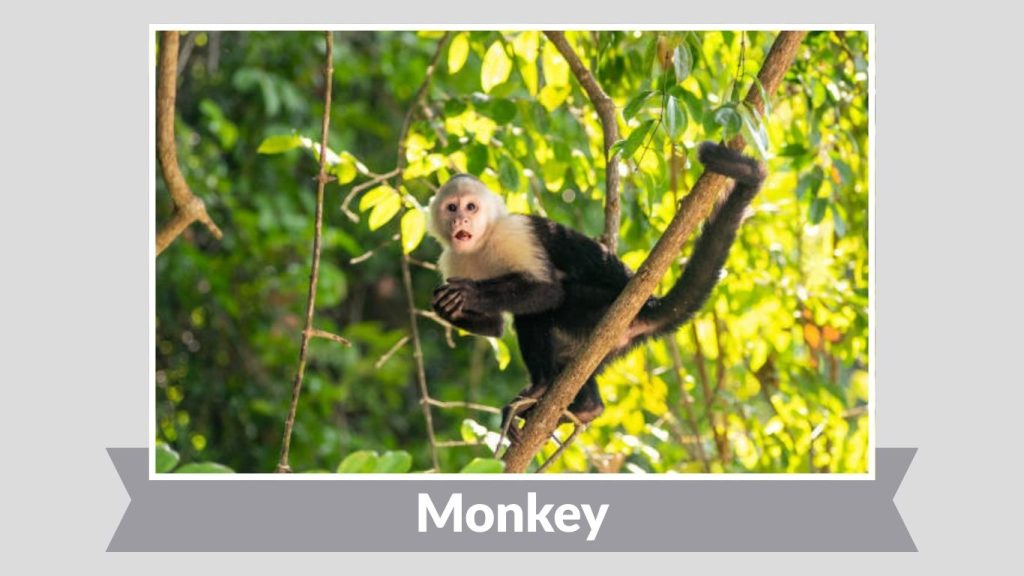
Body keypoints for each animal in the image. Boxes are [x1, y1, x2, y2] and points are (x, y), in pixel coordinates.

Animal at [428, 142, 766, 445]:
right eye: (451, 207)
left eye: (471, 207)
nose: (461, 220)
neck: (482, 243)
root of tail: (645, 306)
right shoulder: (452, 259)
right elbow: (496, 327)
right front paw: (446, 308)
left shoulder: (513, 234)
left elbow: (547, 292)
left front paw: (467, 293)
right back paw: (585, 406)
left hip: (600, 310)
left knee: (544, 309)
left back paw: (542, 388)